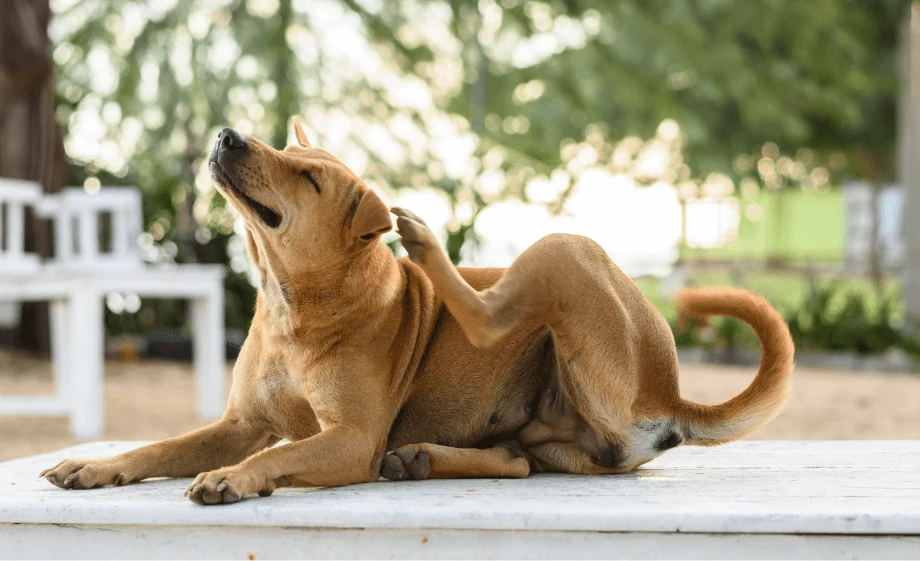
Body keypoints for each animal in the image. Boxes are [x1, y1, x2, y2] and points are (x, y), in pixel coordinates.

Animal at [39, 118, 796, 504]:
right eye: (285, 148)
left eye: (307, 176)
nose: (229, 134)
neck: (294, 306)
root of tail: (669, 389)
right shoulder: (239, 423)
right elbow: (160, 447)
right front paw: (98, 465)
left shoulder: (351, 438)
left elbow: (285, 450)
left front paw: (235, 478)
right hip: (554, 437)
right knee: (516, 461)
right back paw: (424, 458)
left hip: (564, 251)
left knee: (491, 315)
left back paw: (426, 244)